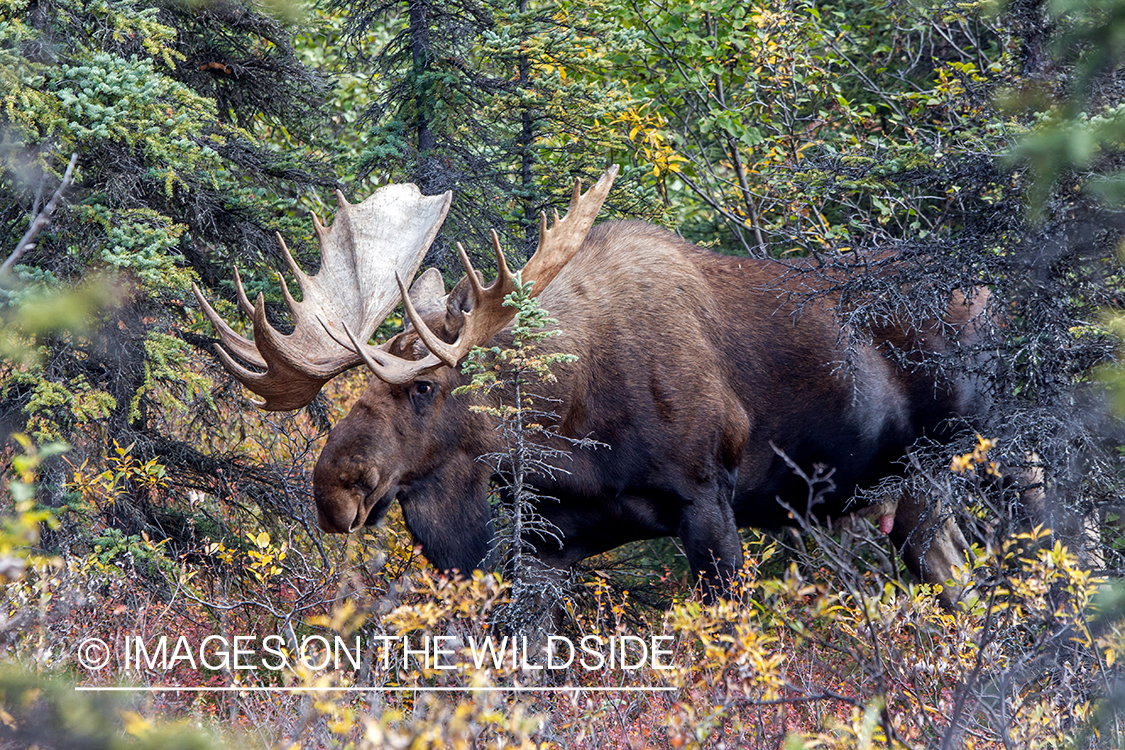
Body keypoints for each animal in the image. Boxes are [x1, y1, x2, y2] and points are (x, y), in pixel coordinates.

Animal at [193, 167, 985, 602]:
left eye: (423, 388)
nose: (334, 487)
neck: (570, 438)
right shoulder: (547, 544)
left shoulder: (706, 498)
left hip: (938, 470)